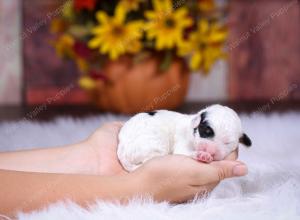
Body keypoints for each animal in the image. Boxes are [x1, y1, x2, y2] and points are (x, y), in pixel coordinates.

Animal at [117, 105, 251, 172]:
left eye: (227, 143)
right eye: (206, 132)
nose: (210, 151)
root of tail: (121, 146)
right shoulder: (182, 144)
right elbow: (185, 151)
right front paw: (202, 155)